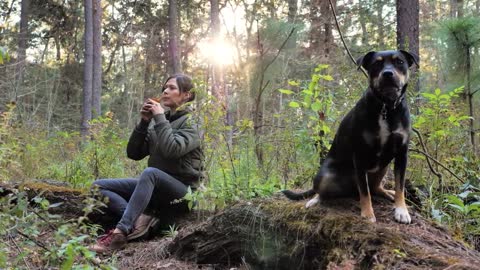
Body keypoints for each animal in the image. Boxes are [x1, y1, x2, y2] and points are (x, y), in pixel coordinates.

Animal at [284, 50, 418, 224]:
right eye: (376, 63)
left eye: (399, 62)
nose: (388, 73)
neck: (386, 108)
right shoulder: (360, 155)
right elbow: (364, 192)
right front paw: (367, 214)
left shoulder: (402, 154)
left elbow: (400, 186)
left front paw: (401, 210)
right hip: (326, 176)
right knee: (324, 191)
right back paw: (315, 199)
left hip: (383, 167)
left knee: (375, 187)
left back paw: (388, 193)